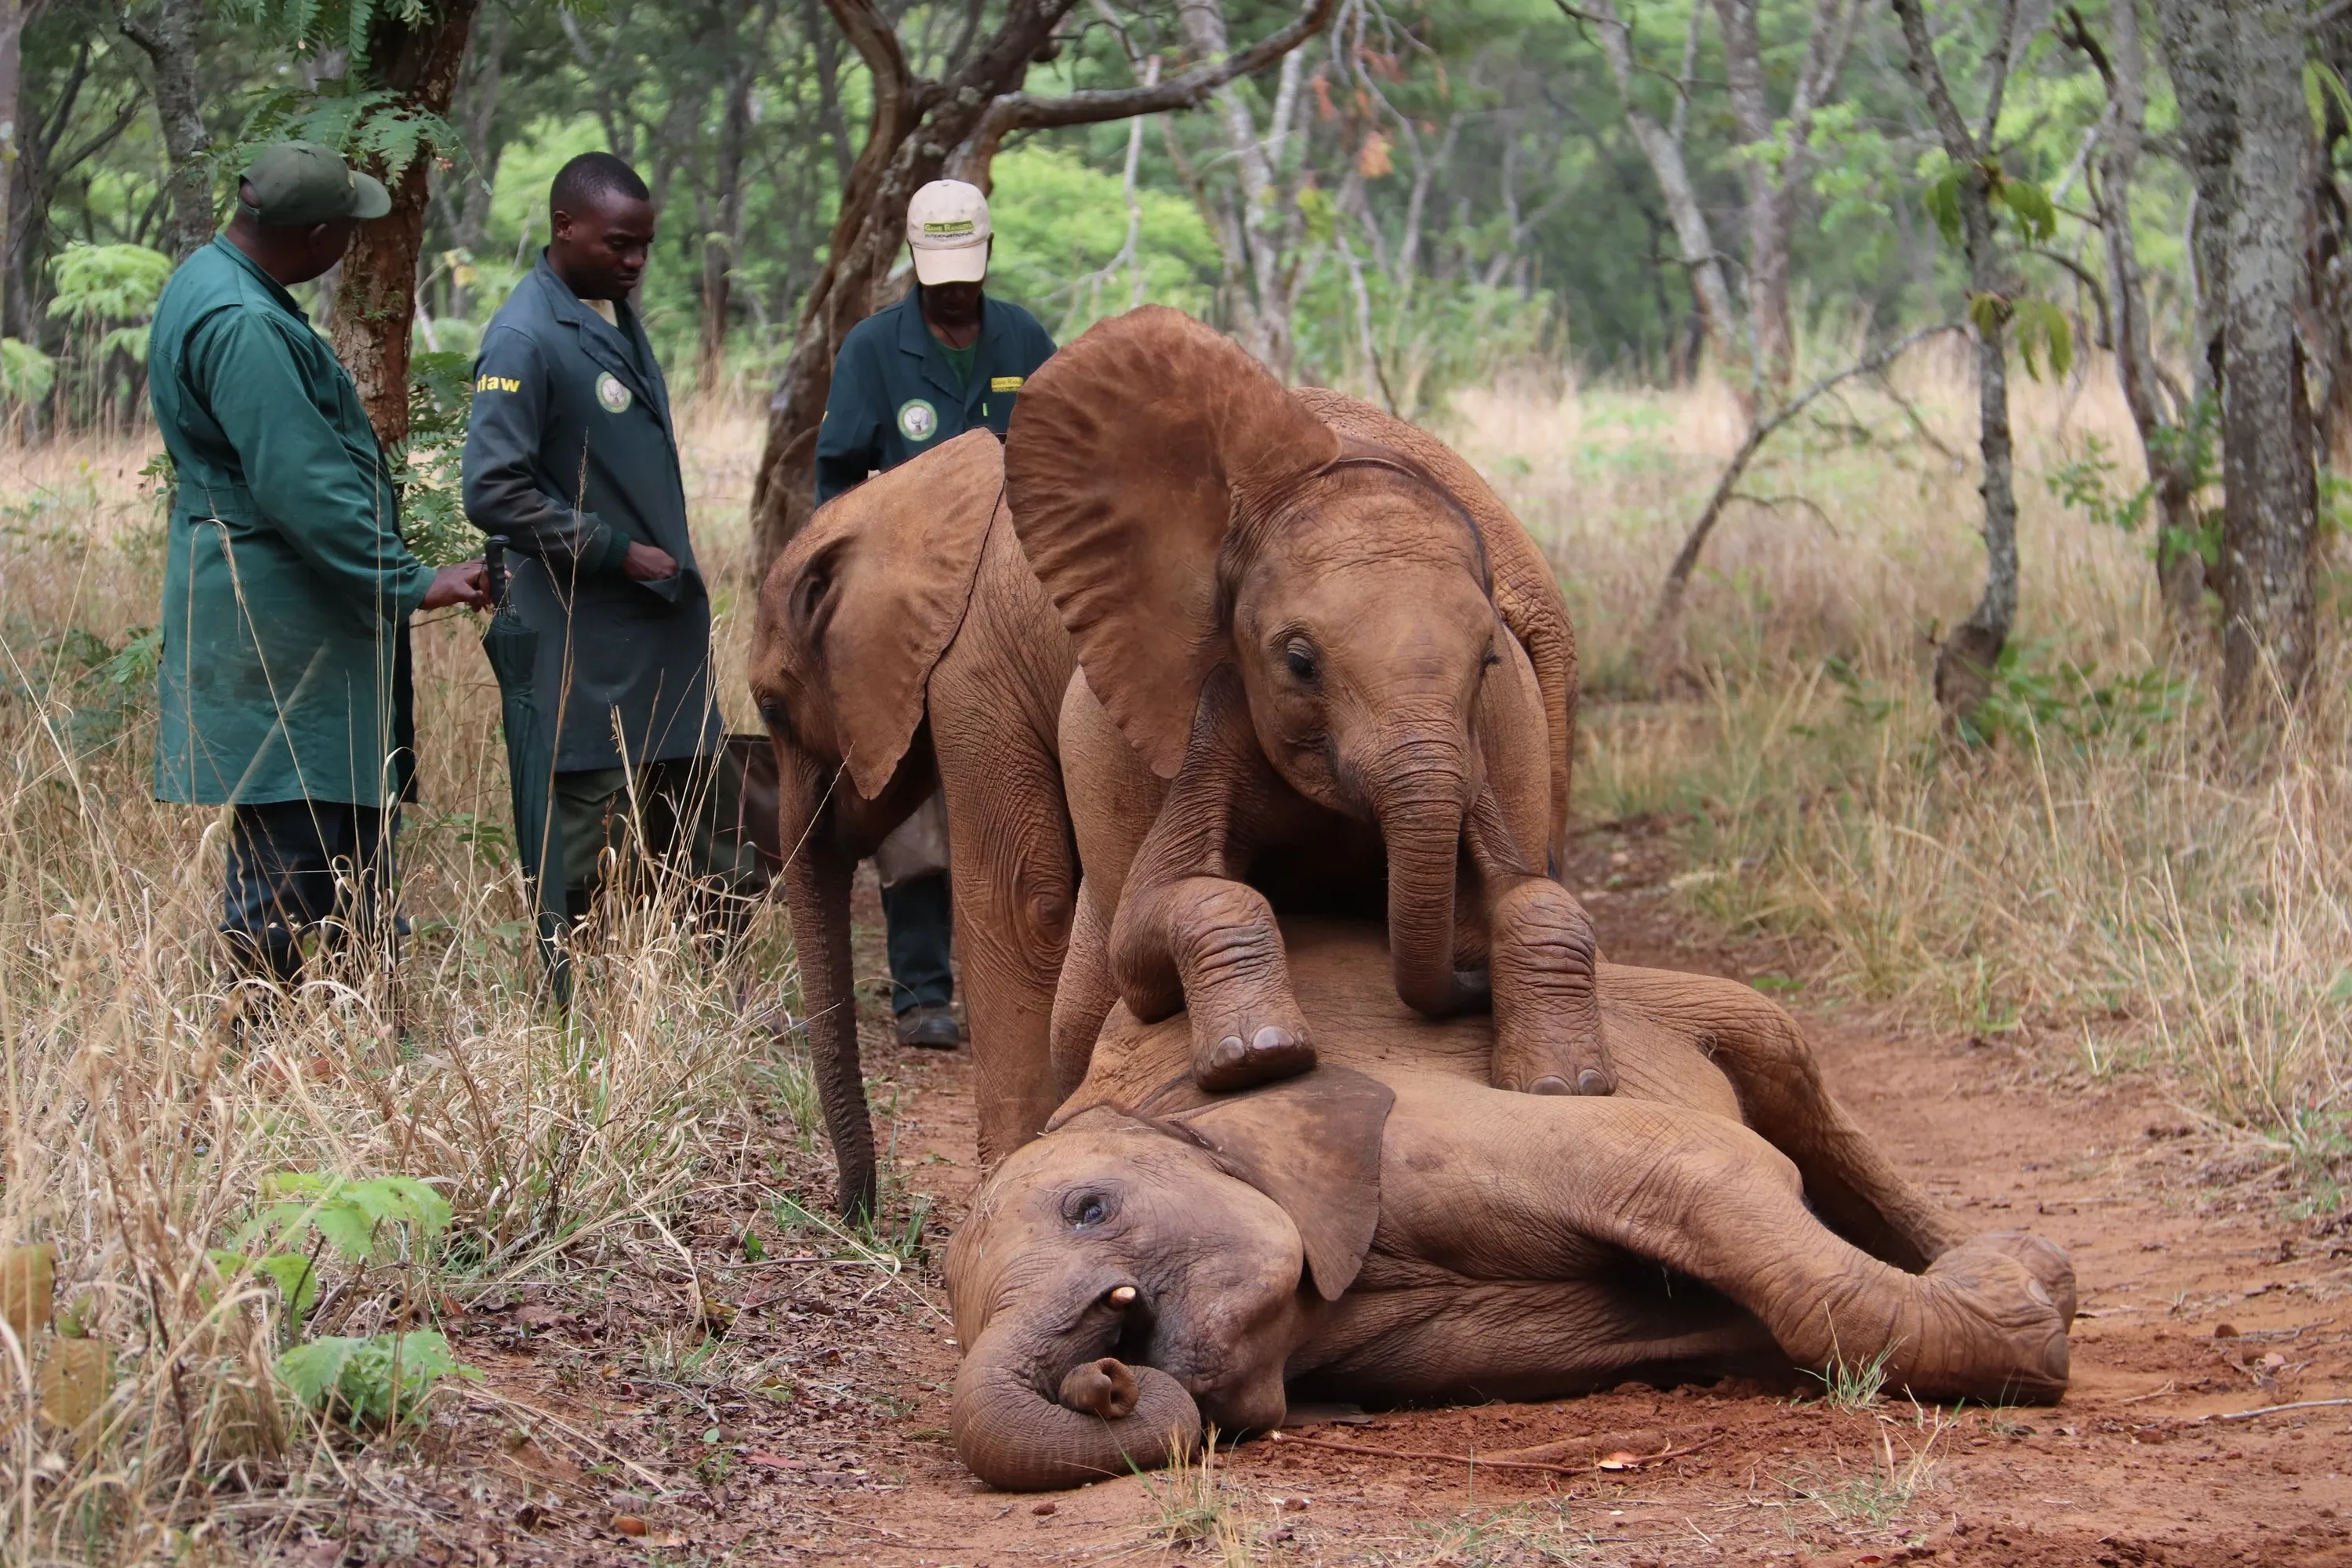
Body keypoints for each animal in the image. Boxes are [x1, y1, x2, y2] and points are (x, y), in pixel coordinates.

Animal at [944, 919, 2076, 1493]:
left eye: (1091, 1207)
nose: (1102, 1376)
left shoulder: (1418, 1128)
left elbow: (1697, 1167)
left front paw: (2028, 1299)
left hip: (1675, 998)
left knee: (1797, 1084)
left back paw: (2021, 1264)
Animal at [1003, 306, 1608, 1103]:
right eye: (1299, 663)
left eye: (1488, 663)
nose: (1466, 988)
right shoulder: (1217, 705)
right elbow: (1149, 931)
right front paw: (1261, 1059)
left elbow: (1523, 899)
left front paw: (1568, 1085)